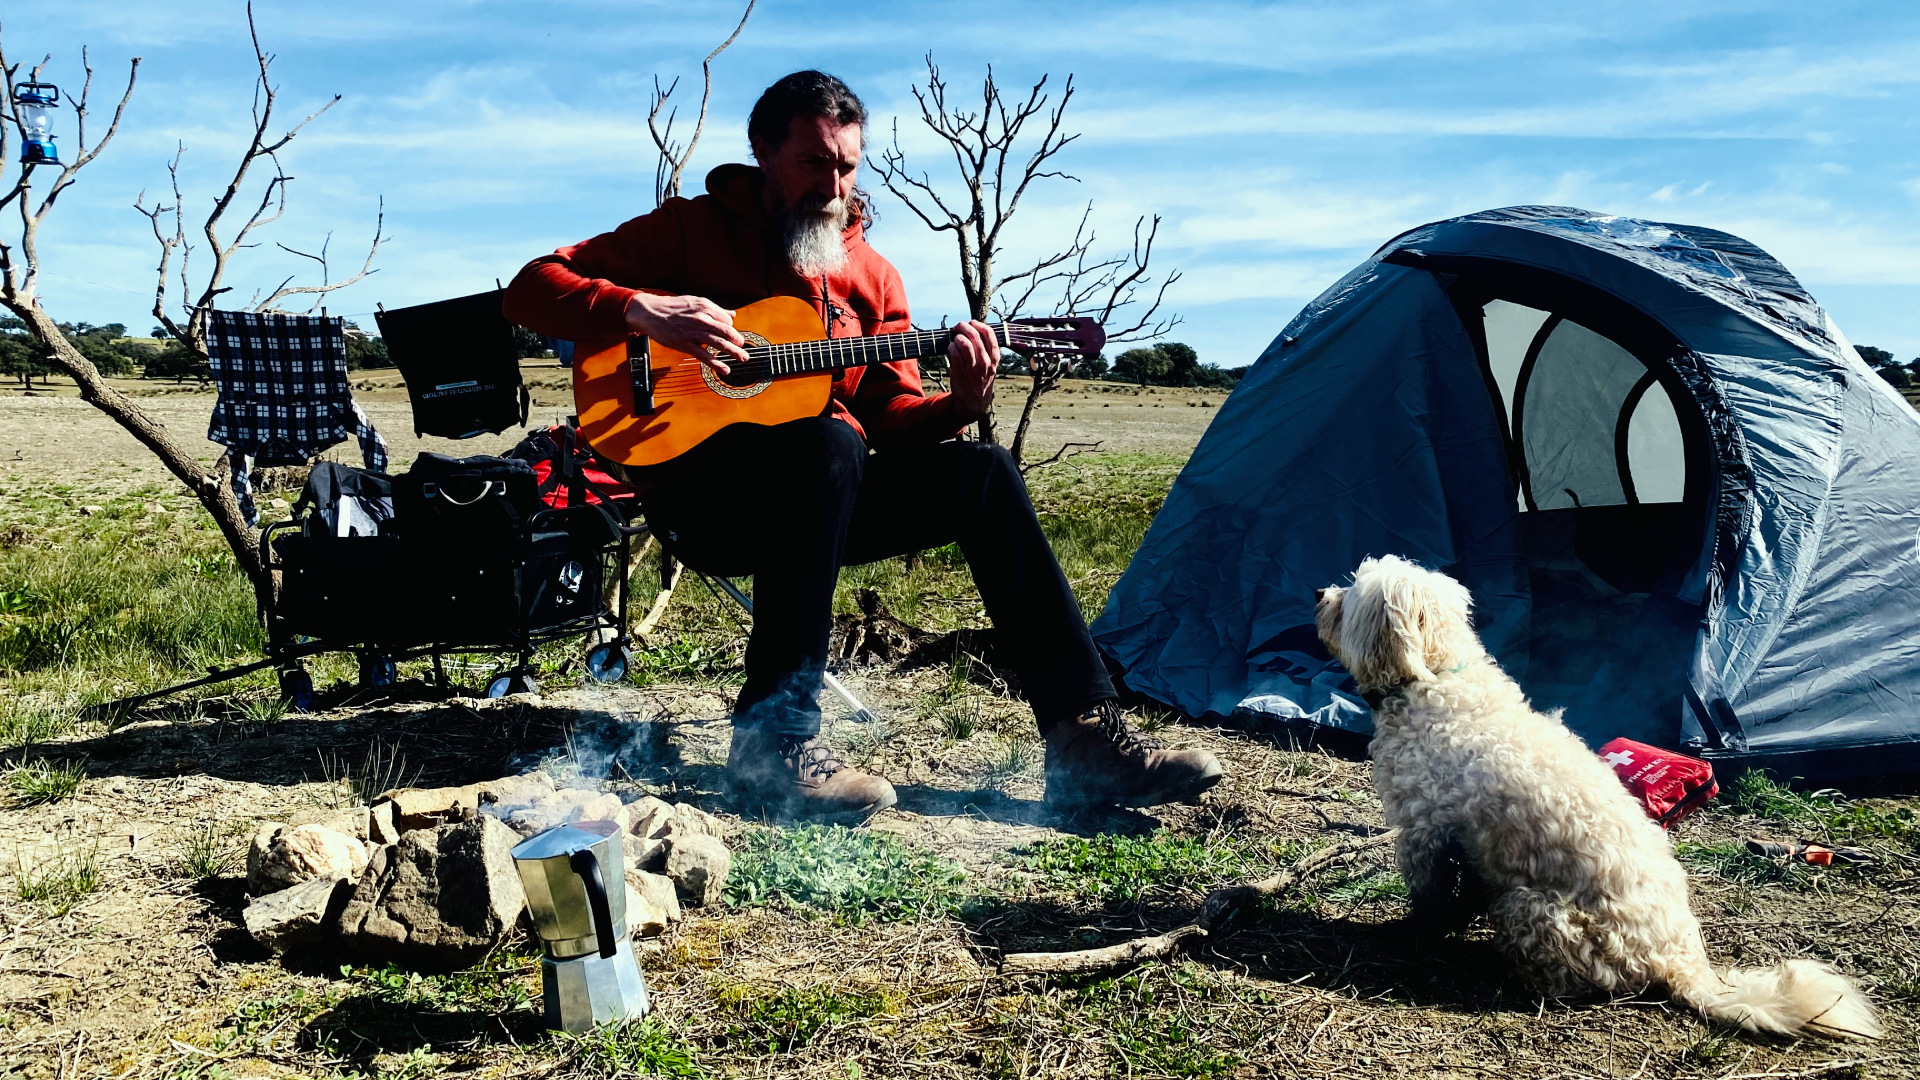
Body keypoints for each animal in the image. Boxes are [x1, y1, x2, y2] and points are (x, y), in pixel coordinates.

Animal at [1313, 549, 1881, 1037]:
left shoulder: (1422, 830)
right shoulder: (1467, 846)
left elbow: (1429, 900)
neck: (1434, 680)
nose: (1319, 592)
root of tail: (1682, 960)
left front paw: (1412, 934)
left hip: (1529, 907)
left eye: (1351, 592)